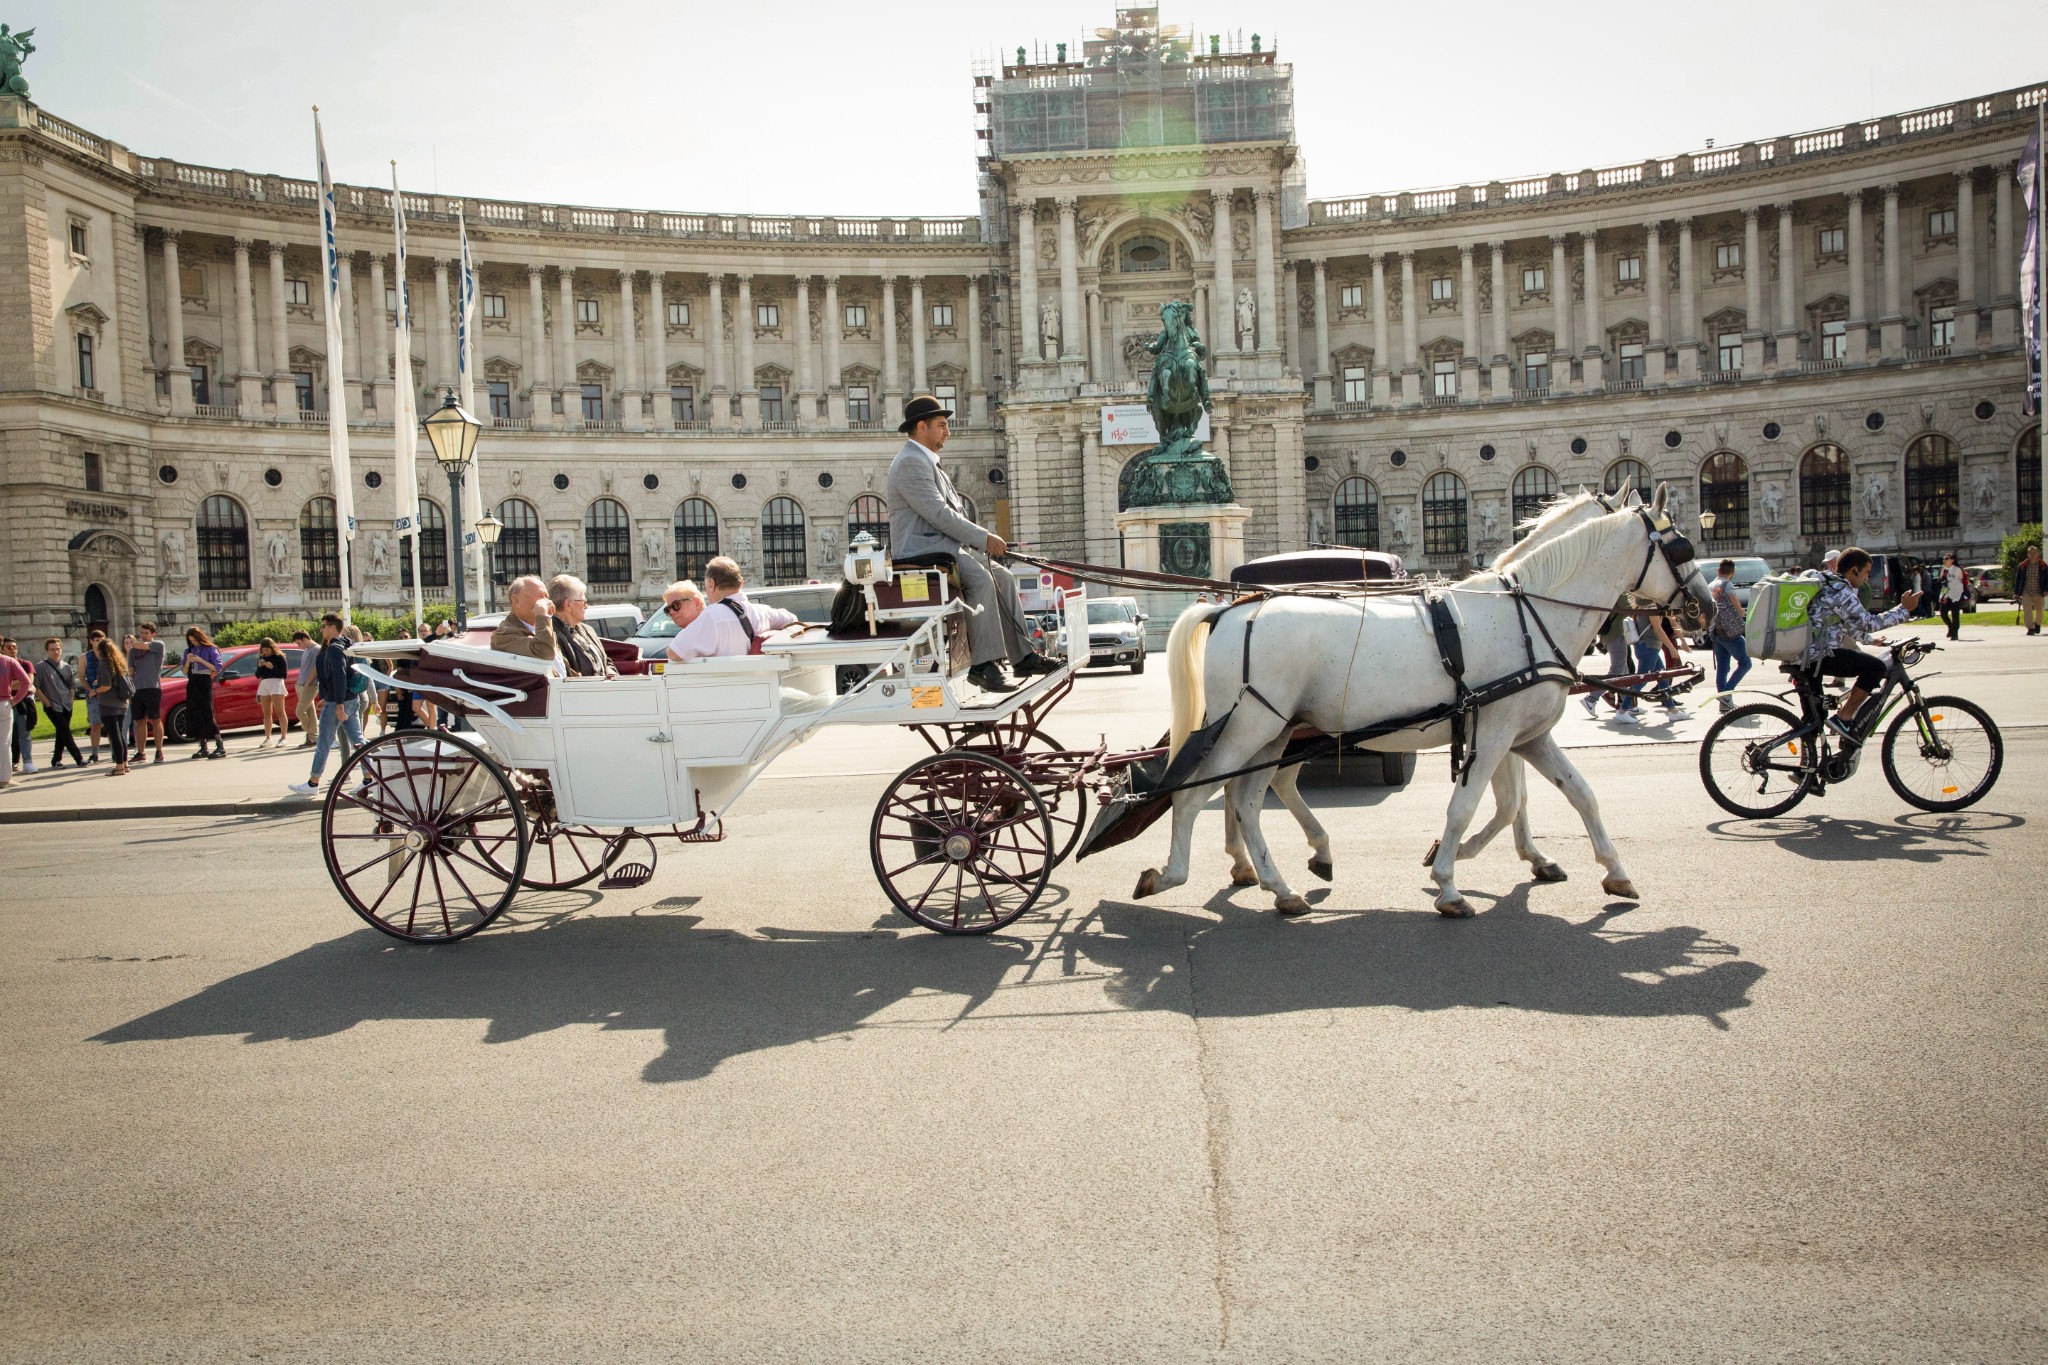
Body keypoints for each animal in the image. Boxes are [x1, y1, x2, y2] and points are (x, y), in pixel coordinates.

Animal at [1138, 482, 1712, 916]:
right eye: (1681, 547)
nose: (1703, 608)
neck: (1527, 613)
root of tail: (1230, 610)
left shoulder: (1525, 736)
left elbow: (1571, 796)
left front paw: (1610, 871)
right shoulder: (1495, 732)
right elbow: (1469, 806)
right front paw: (1449, 880)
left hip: (1273, 733)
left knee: (1247, 800)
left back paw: (1278, 883)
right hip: (1248, 729)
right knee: (1198, 796)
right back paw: (1173, 874)